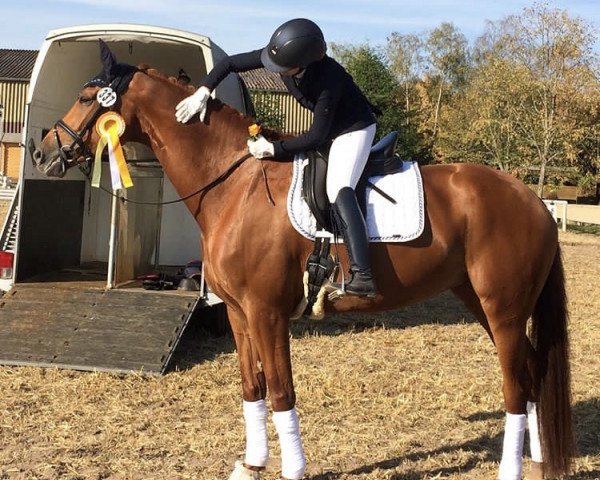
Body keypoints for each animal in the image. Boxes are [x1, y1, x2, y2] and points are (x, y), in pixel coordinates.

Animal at [31, 43, 572, 478]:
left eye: (87, 98)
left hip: (502, 309)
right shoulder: (237, 312)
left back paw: (512, 469)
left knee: (515, 384)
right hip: (481, 302)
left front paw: (292, 469)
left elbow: (281, 392)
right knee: (529, 373)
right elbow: (252, 388)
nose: (42, 153)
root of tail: (532, 200)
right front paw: (252, 464)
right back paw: (539, 459)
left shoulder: (267, 312)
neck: (235, 182)